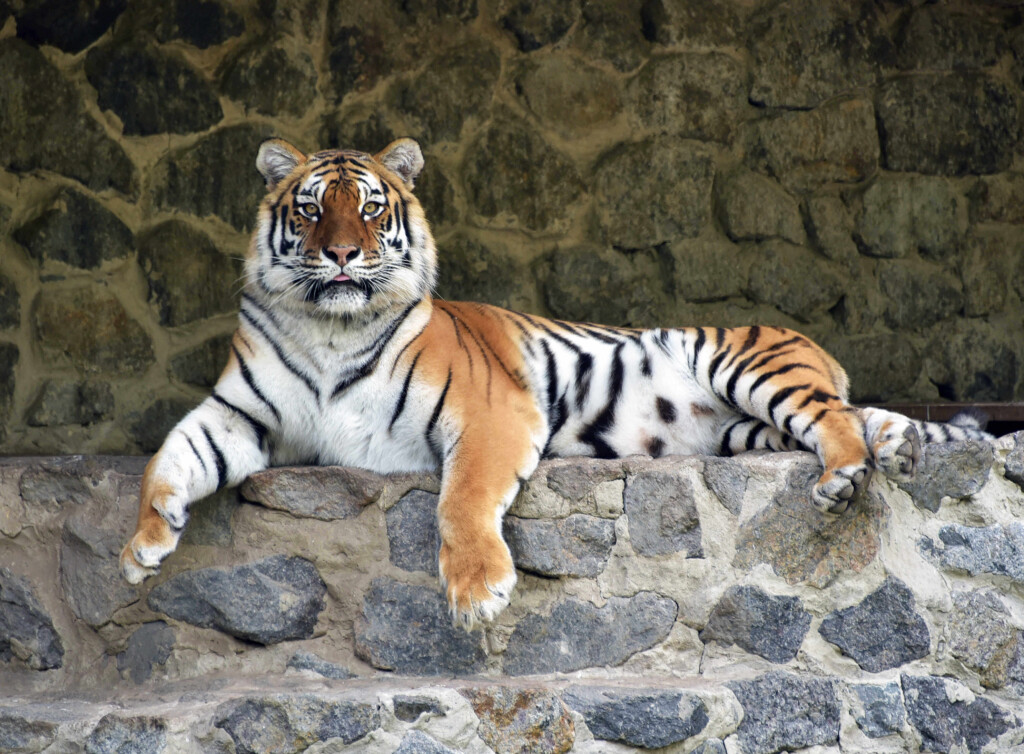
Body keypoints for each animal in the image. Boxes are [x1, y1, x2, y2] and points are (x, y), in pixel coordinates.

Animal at [120, 137, 992, 630]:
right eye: (308, 210)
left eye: (367, 209)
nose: (339, 254)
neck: (330, 328)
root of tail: (808, 339)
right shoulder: (240, 413)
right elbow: (168, 456)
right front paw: (143, 544)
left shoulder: (489, 411)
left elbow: (462, 498)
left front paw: (477, 593)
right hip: (746, 423)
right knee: (851, 413)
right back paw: (896, 442)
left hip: (748, 364)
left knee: (831, 416)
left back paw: (845, 475)